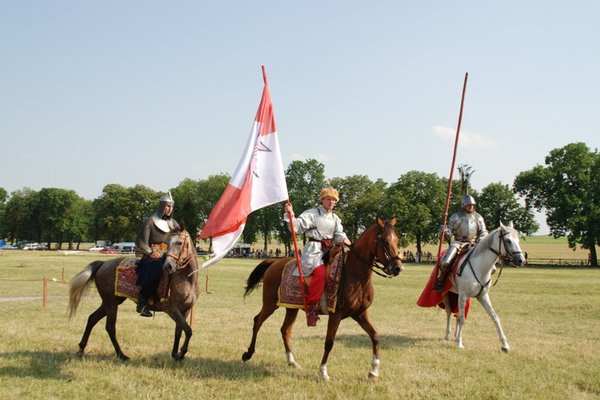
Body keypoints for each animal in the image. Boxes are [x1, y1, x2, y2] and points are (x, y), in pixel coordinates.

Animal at [67, 230, 199, 360]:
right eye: (169, 242)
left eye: (179, 243)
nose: (168, 266)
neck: (186, 279)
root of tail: (103, 264)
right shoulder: (171, 309)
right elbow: (188, 330)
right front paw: (181, 353)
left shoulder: (185, 310)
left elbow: (179, 331)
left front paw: (175, 354)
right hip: (111, 303)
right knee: (110, 327)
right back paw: (121, 355)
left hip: (111, 302)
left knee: (92, 318)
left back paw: (81, 349)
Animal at [240, 217, 404, 380]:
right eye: (385, 241)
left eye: (397, 240)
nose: (398, 268)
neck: (355, 275)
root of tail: (274, 262)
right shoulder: (335, 315)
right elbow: (329, 342)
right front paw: (323, 371)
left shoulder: (360, 314)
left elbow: (375, 337)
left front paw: (374, 371)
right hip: (270, 303)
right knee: (258, 321)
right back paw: (248, 353)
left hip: (291, 308)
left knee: (285, 330)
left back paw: (292, 361)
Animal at [440, 223, 524, 352]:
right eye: (508, 240)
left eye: (518, 240)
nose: (521, 260)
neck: (480, 267)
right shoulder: (463, 296)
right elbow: (462, 319)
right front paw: (460, 343)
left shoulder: (482, 296)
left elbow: (494, 316)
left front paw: (505, 344)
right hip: (447, 293)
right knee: (449, 312)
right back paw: (448, 335)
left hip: (457, 295)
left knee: (457, 315)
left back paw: (454, 335)